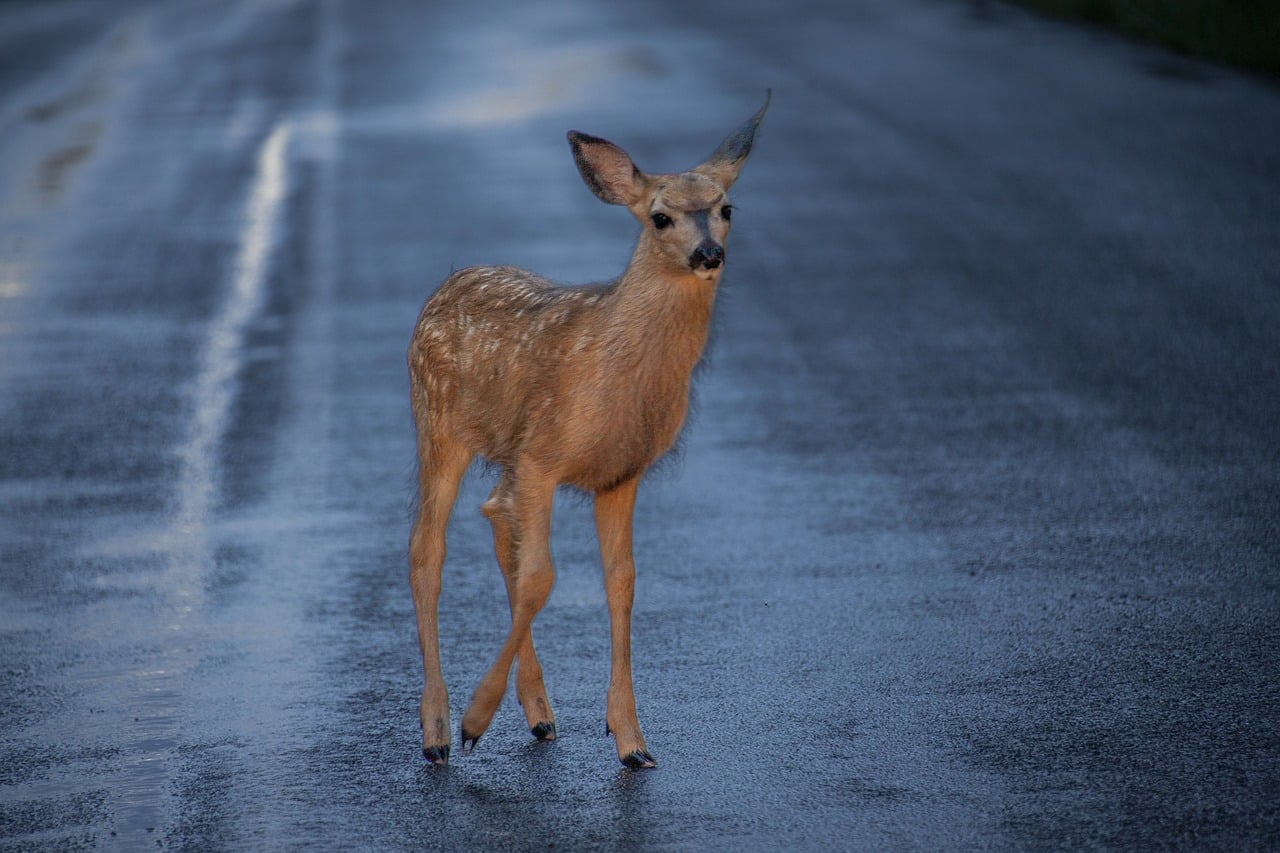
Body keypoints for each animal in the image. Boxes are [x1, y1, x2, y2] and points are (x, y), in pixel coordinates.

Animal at [407, 92, 769, 769]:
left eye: (726, 208)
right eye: (660, 217)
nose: (709, 254)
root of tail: (448, 282)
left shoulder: (619, 473)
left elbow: (621, 582)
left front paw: (632, 741)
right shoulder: (544, 454)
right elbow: (543, 578)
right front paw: (474, 721)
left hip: (501, 451)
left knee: (493, 514)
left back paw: (540, 714)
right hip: (437, 420)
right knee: (427, 549)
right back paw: (439, 729)